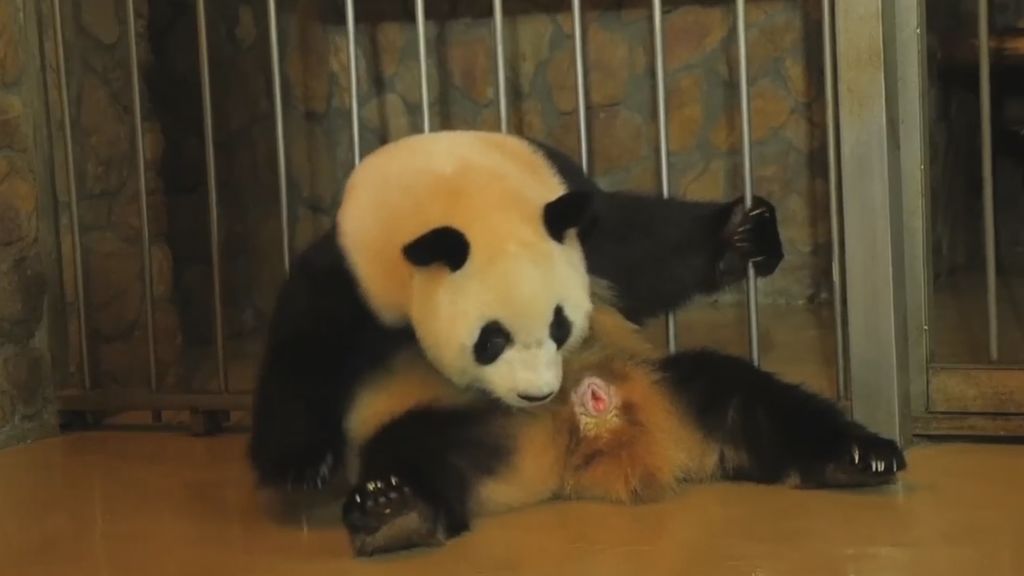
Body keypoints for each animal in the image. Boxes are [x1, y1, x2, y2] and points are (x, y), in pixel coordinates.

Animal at [248, 130, 785, 494]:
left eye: (560, 325)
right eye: (491, 340)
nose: (537, 394)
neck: (461, 195)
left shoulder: (582, 231)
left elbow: (649, 251)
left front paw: (744, 231)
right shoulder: (360, 271)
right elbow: (307, 342)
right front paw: (298, 465)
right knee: (417, 445)